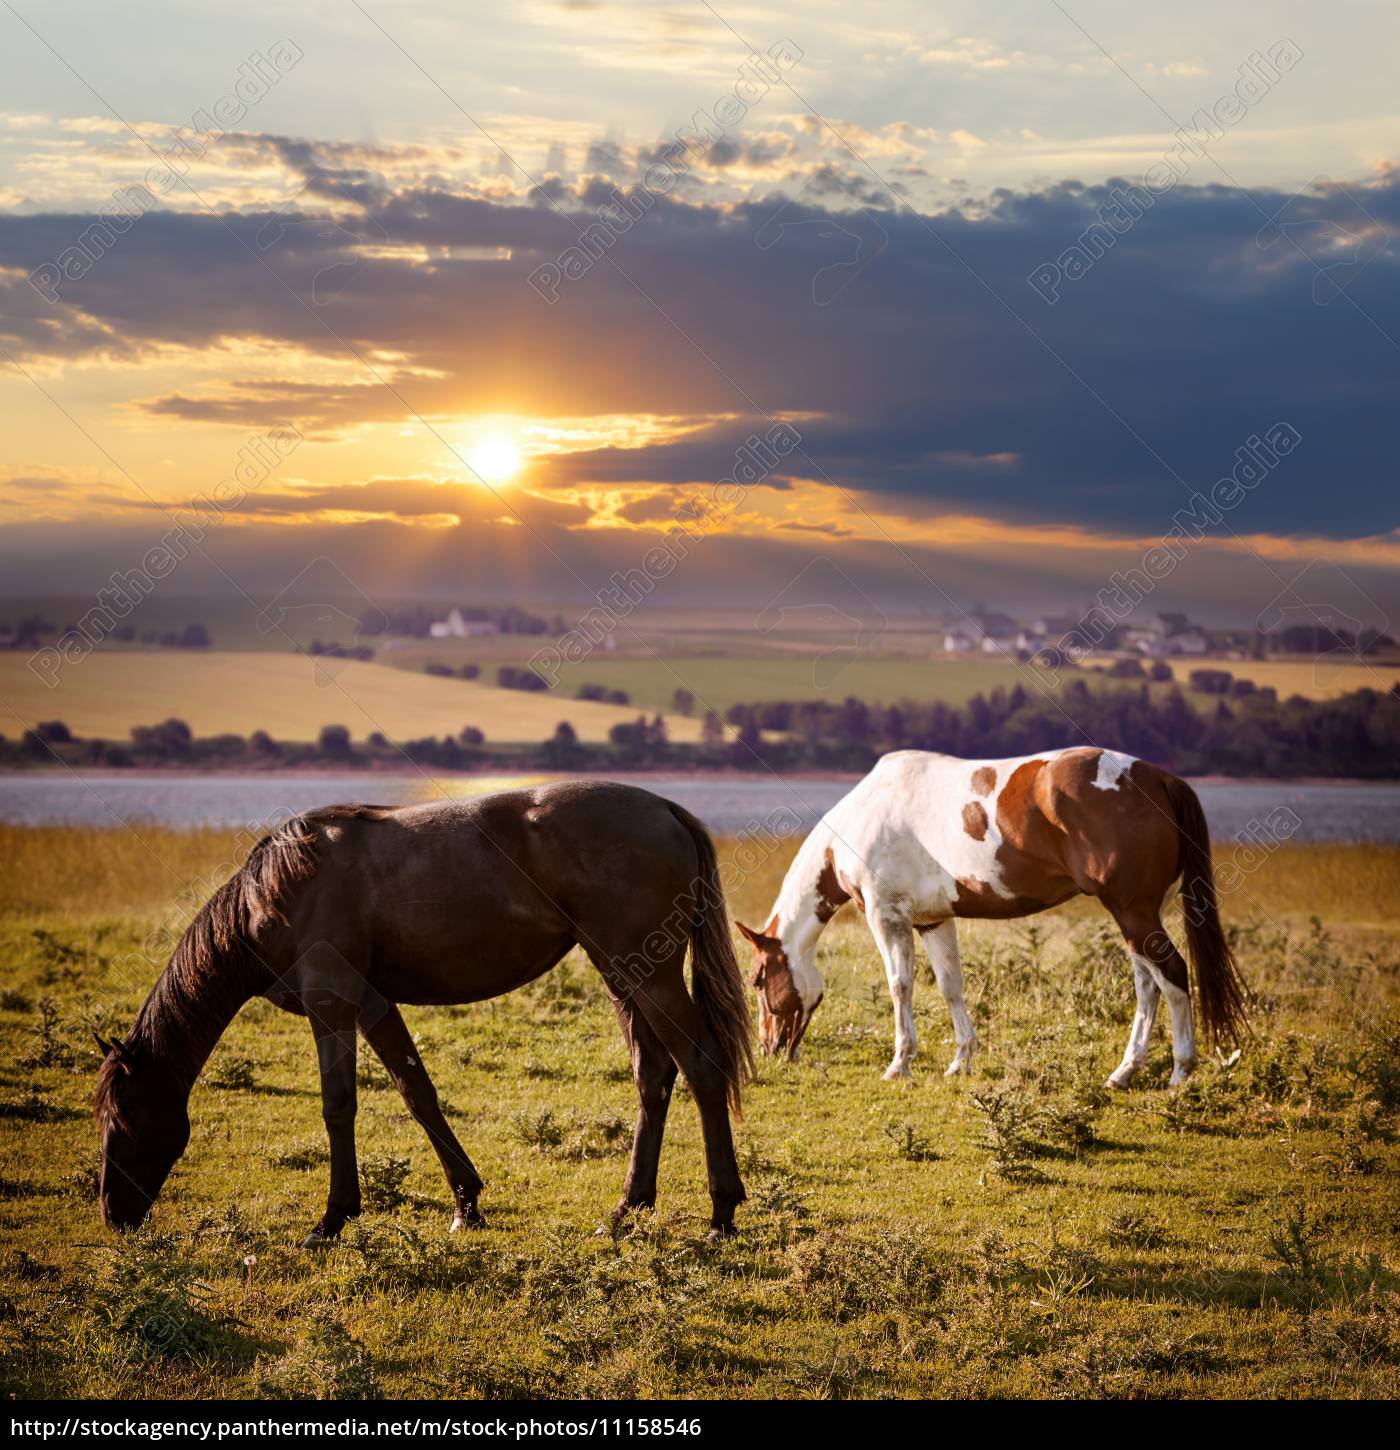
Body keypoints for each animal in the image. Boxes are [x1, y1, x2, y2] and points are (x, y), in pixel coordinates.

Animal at [95, 783, 753, 1247]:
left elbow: (339, 1106)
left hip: (649, 977)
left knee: (701, 1068)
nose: (112, 1214)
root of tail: (667, 810)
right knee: (655, 1077)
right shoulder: (373, 1004)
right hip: (624, 977)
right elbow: (419, 1094)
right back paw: (626, 1210)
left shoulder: (332, 1003)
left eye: (124, 1119)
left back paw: (721, 1213)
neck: (282, 889)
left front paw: (331, 1219)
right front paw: (467, 1204)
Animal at [739, 748, 1252, 1090]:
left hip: (1133, 913)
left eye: (759, 980)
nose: (770, 1048)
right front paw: (961, 1061)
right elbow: (951, 988)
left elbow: (900, 987)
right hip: (1138, 917)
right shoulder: (933, 921)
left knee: (1172, 977)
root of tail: (1160, 780)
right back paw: (1124, 1072)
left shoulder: (888, 917)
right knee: (1149, 987)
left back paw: (1181, 1071)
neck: (865, 817)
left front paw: (899, 1064)